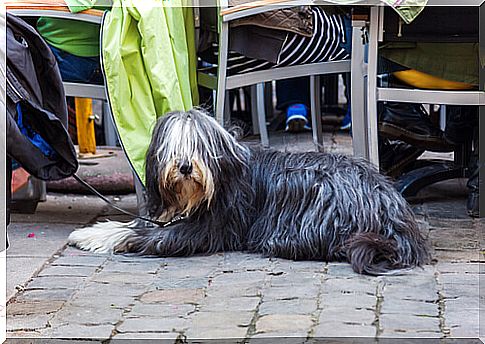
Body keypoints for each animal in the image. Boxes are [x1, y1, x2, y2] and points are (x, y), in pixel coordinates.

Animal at [68, 109, 428, 276]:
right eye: (173, 148)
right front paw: (89, 232)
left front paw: (99, 238)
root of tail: (393, 210)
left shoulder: (208, 228)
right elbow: (133, 224)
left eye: (198, 147)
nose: (185, 167)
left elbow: (143, 236)